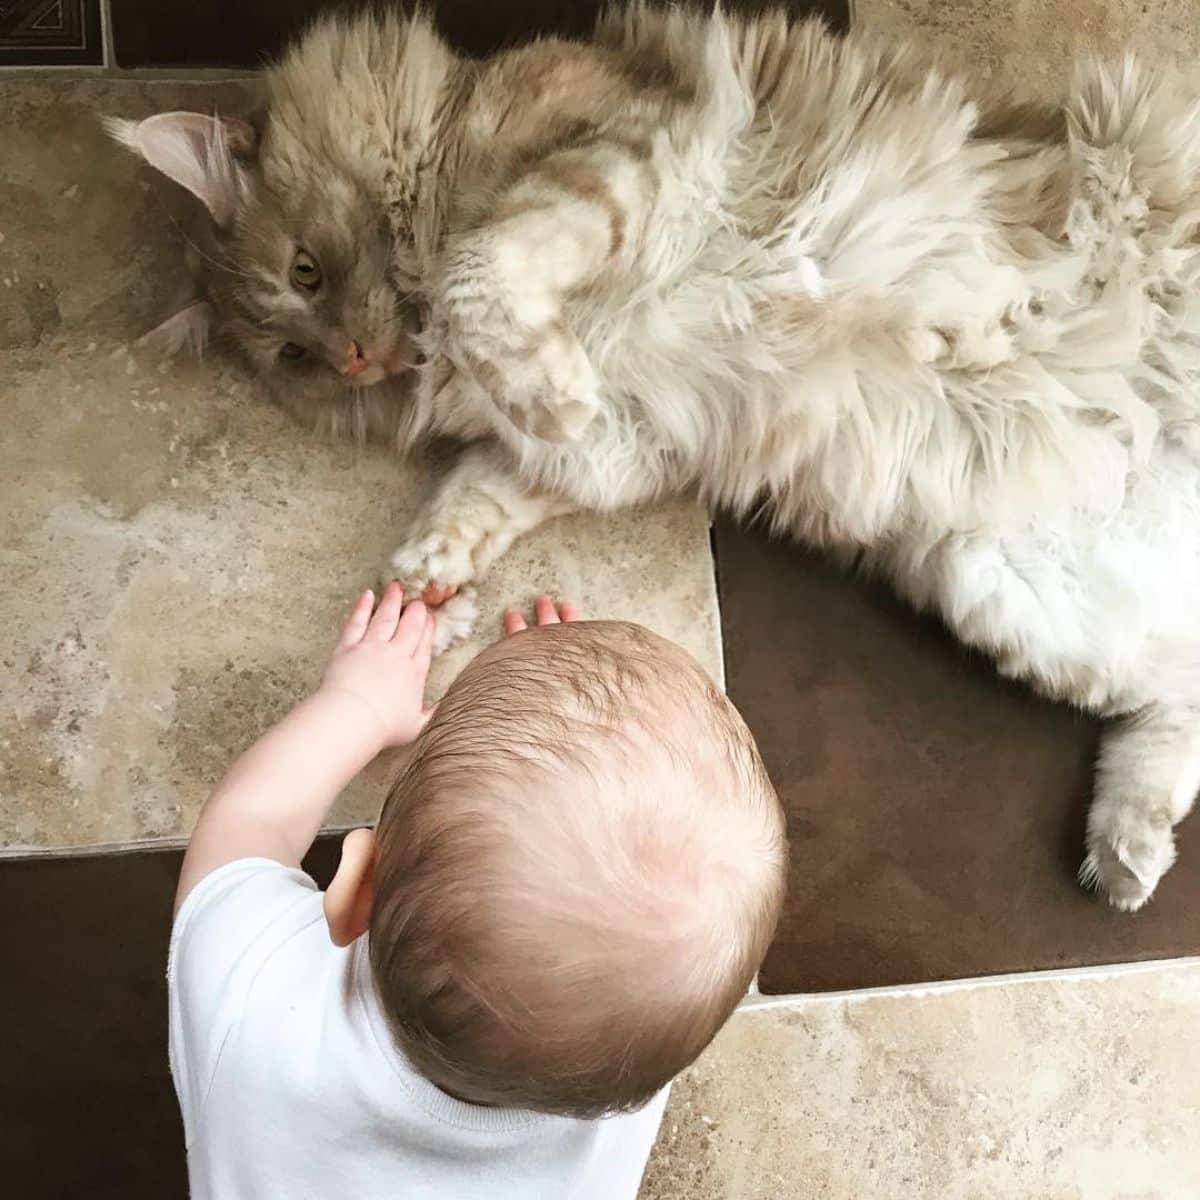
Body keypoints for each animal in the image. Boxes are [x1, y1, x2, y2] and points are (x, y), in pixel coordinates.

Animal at [108, 7, 1200, 907]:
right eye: (291, 355)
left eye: (307, 271)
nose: (351, 359)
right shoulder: (610, 449)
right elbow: (470, 502)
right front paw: (424, 592)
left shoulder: (619, 153)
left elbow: (482, 274)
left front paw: (539, 382)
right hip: (1004, 585)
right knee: (1176, 695)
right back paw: (1127, 854)